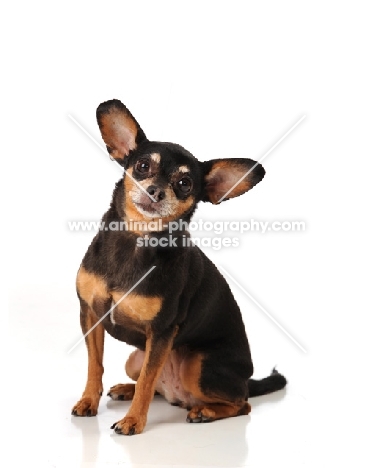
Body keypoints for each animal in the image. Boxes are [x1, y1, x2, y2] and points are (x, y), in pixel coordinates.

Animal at [72, 98, 288, 436]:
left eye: (185, 184)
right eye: (142, 166)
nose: (155, 191)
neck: (136, 240)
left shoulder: (161, 332)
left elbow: (147, 382)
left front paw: (133, 421)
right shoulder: (90, 315)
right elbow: (96, 366)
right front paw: (88, 401)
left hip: (197, 367)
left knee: (241, 404)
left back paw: (205, 412)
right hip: (135, 358)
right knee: (156, 386)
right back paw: (127, 389)